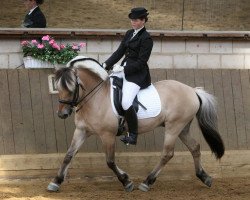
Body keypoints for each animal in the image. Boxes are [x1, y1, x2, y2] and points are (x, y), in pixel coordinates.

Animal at [47, 56, 225, 192]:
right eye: (58, 87)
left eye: (72, 87)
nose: (62, 114)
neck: (94, 98)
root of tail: (192, 90)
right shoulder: (81, 131)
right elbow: (68, 155)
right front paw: (56, 181)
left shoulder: (107, 135)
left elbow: (110, 161)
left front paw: (126, 181)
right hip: (182, 128)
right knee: (195, 147)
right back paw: (204, 177)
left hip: (174, 127)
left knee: (167, 154)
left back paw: (147, 182)